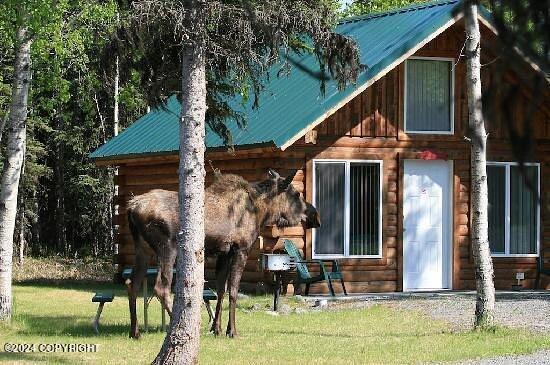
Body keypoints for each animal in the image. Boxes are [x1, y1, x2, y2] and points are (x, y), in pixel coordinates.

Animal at [125, 169, 322, 336]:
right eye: (297, 194)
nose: (315, 215)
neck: (261, 212)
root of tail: (131, 208)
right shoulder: (241, 248)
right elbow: (233, 290)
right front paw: (232, 330)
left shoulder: (224, 253)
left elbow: (221, 289)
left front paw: (217, 328)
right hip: (168, 247)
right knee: (161, 287)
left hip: (142, 249)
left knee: (132, 283)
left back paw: (135, 331)